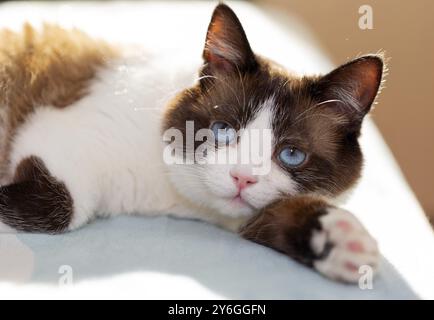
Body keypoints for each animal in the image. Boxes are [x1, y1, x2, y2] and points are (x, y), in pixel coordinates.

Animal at [0, 3, 382, 282]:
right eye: (223, 130)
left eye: (291, 154)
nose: (242, 178)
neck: (166, 195)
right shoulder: (56, 132)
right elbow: (60, 208)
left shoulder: (240, 217)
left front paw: (341, 242)